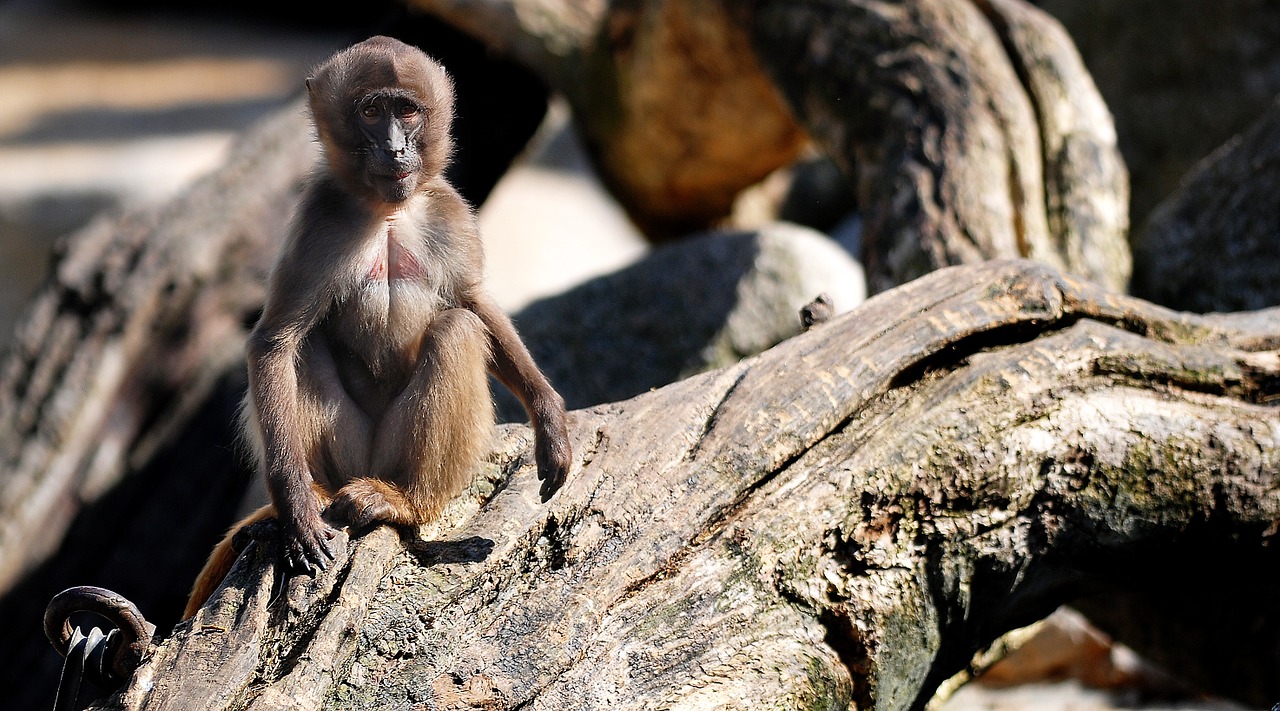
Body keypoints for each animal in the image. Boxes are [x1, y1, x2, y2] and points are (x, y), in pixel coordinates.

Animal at [184, 36, 570, 620]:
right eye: (370, 112)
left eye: (406, 111)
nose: (394, 150)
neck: (386, 211)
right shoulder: (318, 220)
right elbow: (275, 342)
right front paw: (296, 508)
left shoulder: (448, 211)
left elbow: (473, 302)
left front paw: (549, 420)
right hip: (349, 452)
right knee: (305, 348)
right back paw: (320, 495)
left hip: (394, 451)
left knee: (455, 330)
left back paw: (405, 503)